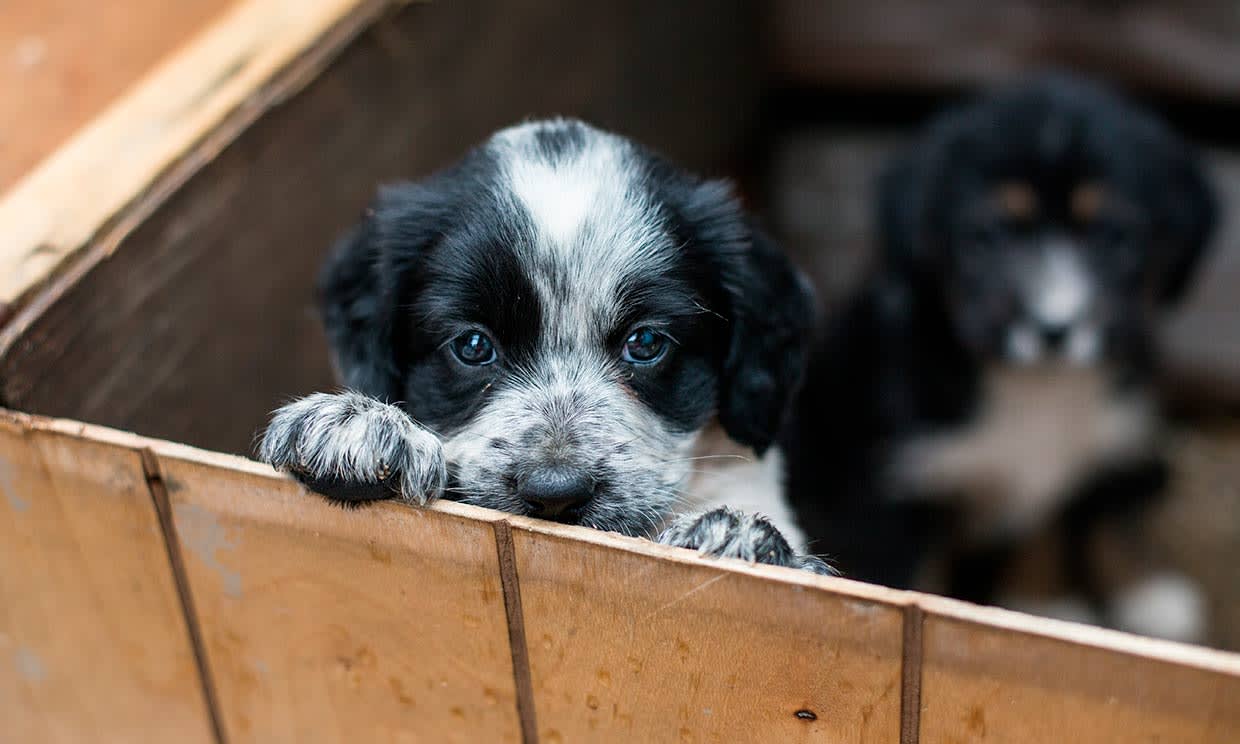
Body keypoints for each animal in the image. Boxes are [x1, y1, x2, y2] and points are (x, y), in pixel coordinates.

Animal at [778, 75, 1215, 639]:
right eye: (985, 236)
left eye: (1115, 236)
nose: (1055, 327)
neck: (1037, 387)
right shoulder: (893, 487)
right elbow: (915, 575)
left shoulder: (1112, 439)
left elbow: (1089, 521)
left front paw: (1128, 593)